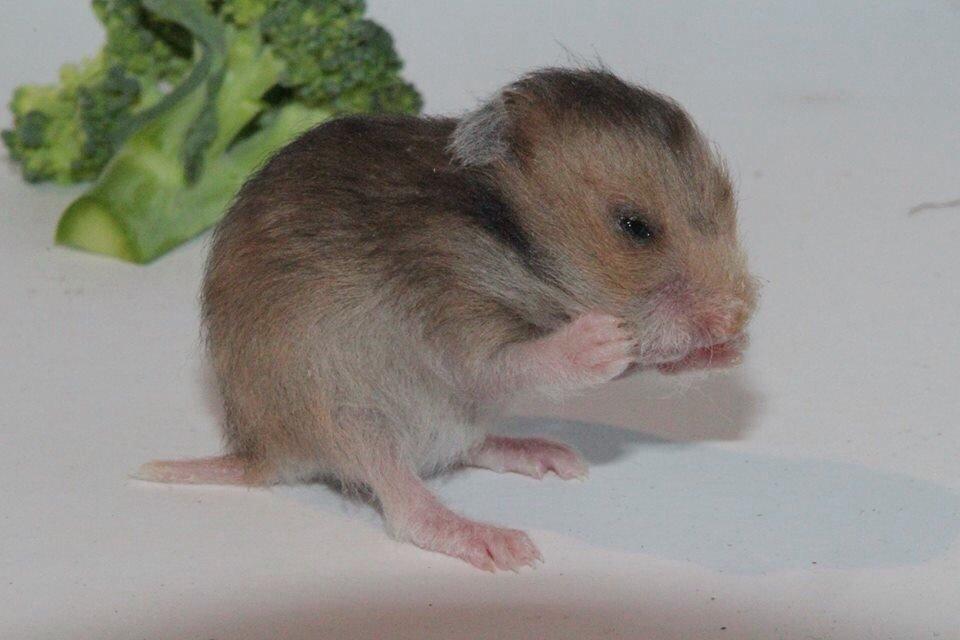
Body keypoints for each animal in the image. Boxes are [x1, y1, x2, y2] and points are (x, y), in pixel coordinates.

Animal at [137, 68, 758, 572]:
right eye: (634, 226)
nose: (735, 314)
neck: (509, 244)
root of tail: (259, 453)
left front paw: (730, 349)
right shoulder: (451, 321)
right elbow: (511, 363)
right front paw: (602, 339)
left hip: (444, 418)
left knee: (462, 448)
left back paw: (549, 456)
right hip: (348, 412)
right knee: (405, 504)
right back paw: (499, 544)